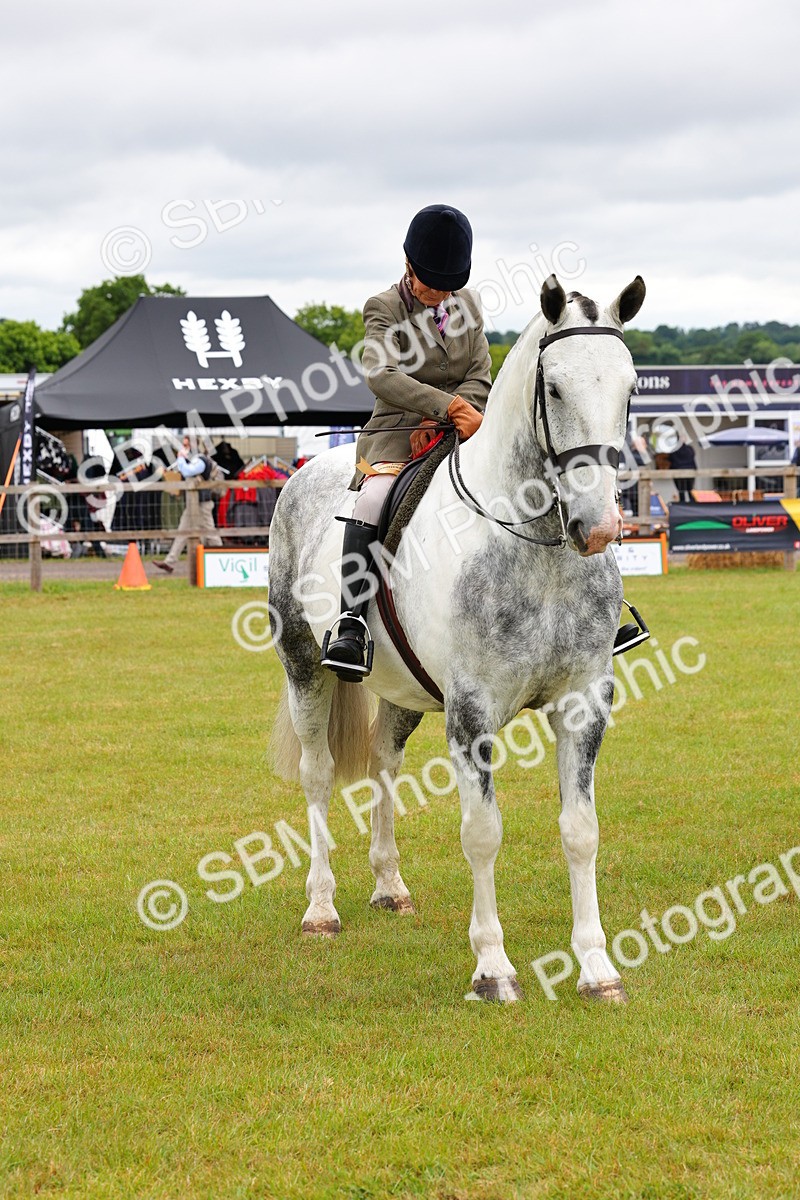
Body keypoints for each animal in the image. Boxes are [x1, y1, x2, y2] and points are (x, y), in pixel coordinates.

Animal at [268, 272, 646, 1003]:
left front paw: (597, 969)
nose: (597, 528)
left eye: (630, 386)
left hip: (403, 690)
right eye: (556, 389)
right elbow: (483, 834)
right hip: (305, 667)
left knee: (383, 762)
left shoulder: (584, 702)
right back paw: (321, 908)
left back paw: (389, 887)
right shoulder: (472, 714)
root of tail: (310, 468)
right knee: (318, 773)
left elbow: (581, 831)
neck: (538, 547)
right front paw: (493, 969)